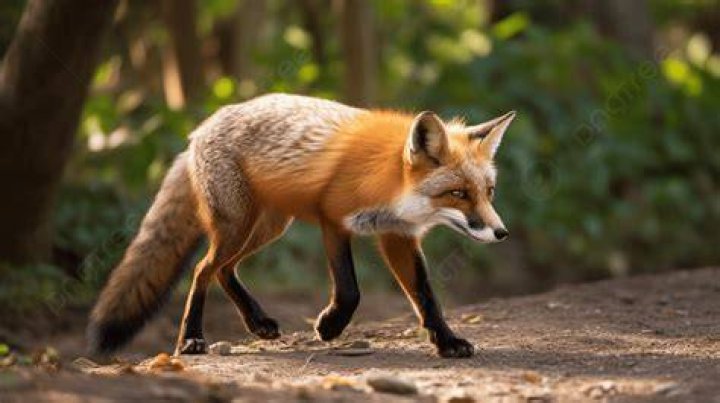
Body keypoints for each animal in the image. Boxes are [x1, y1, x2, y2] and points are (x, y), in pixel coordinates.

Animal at [88, 93, 516, 358]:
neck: (390, 181)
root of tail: (200, 129)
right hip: (238, 225)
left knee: (224, 270)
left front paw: (447, 342)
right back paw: (192, 338)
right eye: (458, 194)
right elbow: (349, 289)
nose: (502, 233)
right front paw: (329, 327)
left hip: (269, 227)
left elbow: (426, 297)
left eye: (489, 191)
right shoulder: (333, 220)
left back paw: (257, 322)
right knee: (201, 269)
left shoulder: (398, 236)